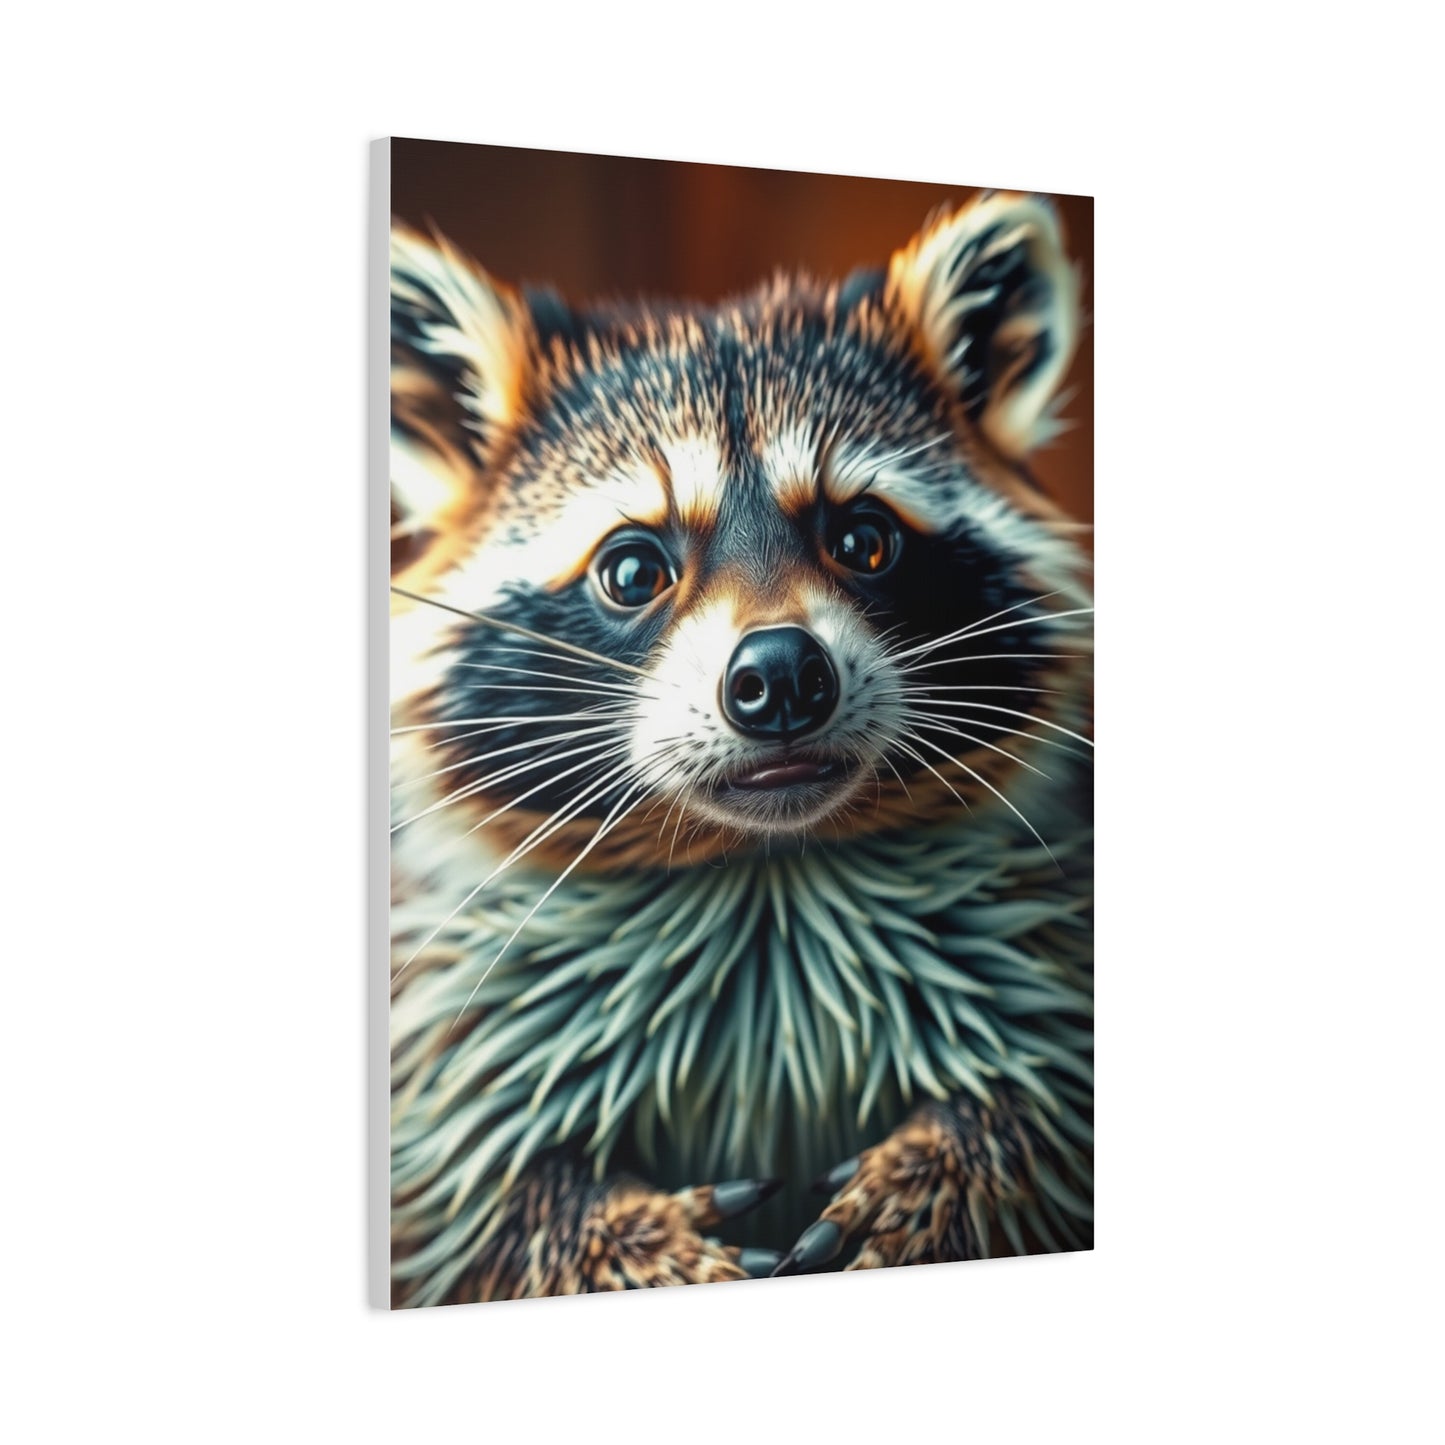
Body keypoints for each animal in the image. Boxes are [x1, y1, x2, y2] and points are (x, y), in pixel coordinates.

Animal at [389, 192, 1093, 1306]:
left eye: (863, 539)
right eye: (633, 568)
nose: (783, 676)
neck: (763, 865)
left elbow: (1041, 1109)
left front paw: (951, 1163)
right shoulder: (450, 1028)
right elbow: (481, 1200)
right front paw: (613, 1235)